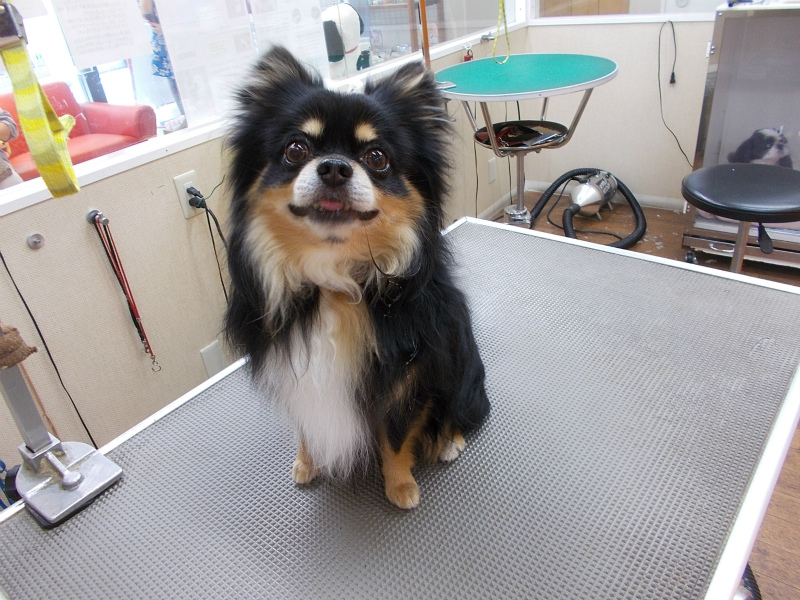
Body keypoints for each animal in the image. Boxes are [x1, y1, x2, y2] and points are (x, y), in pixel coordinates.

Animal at [224, 47, 490, 509]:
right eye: (295, 149)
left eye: (377, 158)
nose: (333, 167)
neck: (335, 279)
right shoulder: (293, 370)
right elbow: (305, 424)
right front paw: (306, 461)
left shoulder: (410, 376)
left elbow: (397, 437)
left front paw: (400, 486)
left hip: (460, 360)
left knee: (458, 408)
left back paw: (448, 440)